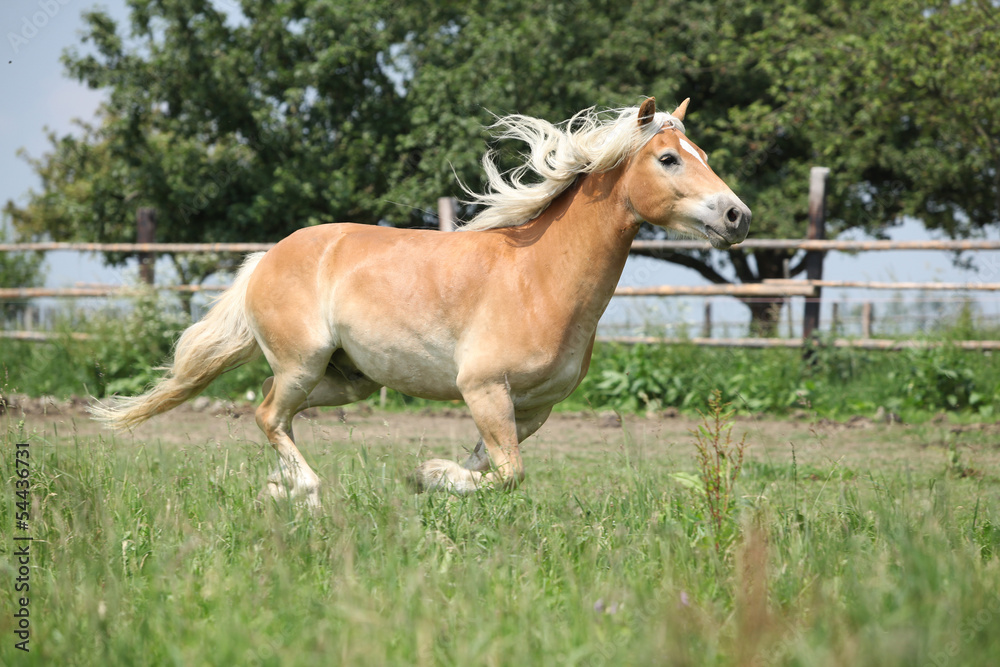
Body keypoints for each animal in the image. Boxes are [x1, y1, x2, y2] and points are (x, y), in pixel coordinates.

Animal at [91, 97, 750, 507]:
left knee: (268, 410)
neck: (540, 278)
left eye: (704, 157)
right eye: (668, 158)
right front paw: (426, 475)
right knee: (268, 414)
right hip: (302, 364)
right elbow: (507, 475)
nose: (737, 216)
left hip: (345, 379)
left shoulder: (533, 407)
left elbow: (492, 467)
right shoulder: (484, 389)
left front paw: (435, 479)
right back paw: (305, 492)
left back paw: (279, 489)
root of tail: (267, 258)